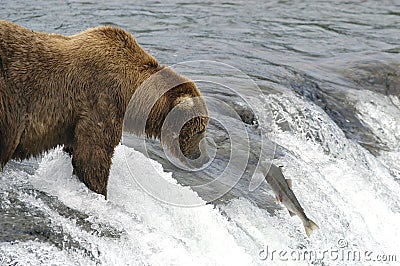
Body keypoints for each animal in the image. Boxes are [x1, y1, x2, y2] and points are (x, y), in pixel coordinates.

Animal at [0, 20, 211, 197]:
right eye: (200, 130)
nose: (203, 157)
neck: (131, 92)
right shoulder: (102, 101)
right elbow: (92, 156)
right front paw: (100, 192)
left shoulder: (77, 120)